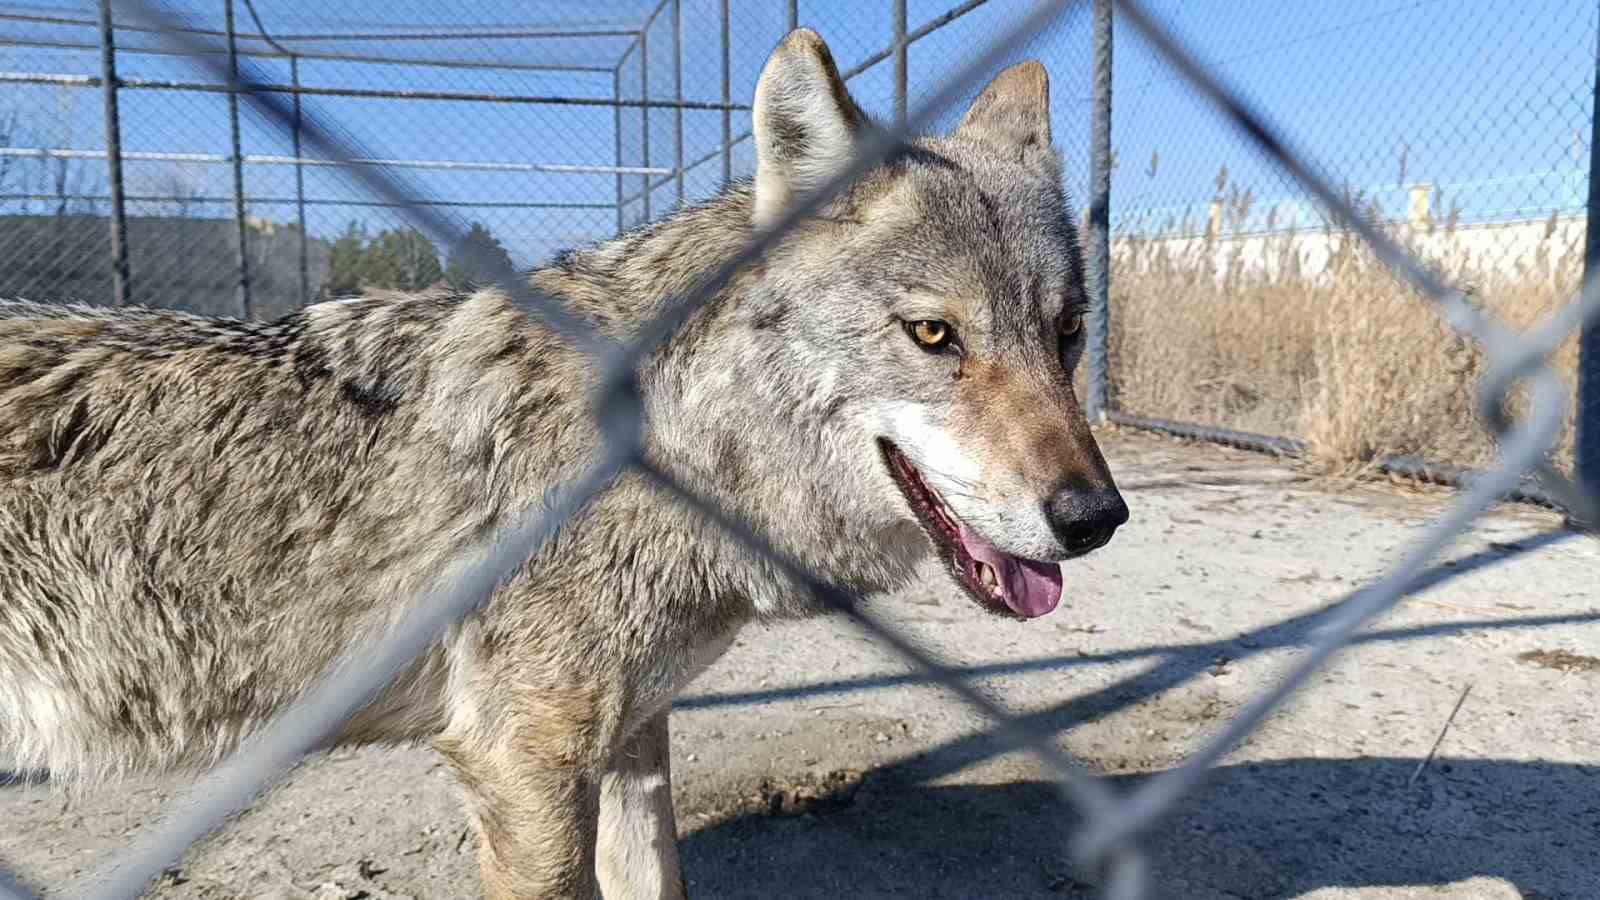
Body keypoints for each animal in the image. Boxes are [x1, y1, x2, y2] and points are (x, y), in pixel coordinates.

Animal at [0, 28, 1126, 896]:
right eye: (934, 335)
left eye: (1067, 332)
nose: (1094, 518)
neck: (663, 442)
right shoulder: (521, 762)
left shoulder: (634, 736)